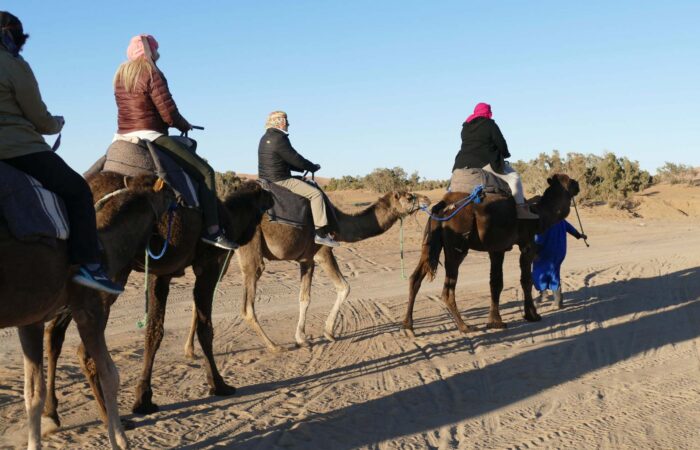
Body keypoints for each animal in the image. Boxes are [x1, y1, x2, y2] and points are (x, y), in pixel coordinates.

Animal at [0, 176, 168, 449]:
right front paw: (121, 441)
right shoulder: (89, 309)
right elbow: (110, 374)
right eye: (170, 196)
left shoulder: (31, 319)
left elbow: (33, 392)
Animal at [42, 172, 273, 427]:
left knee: (54, 333)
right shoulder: (210, 265)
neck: (232, 218)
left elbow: (154, 331)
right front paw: (218, 384)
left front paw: (143, 398)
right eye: (265, 193)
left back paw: (51, 413)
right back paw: (110, 419)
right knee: (85, 347)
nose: (273, 198)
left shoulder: (159, 273)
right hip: (111, 274)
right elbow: (205, 328)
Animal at [184, 190, 430, 355]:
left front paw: (302, 338)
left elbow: (304, 298)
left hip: (223, 254)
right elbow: (344, 287)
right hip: (250, 251)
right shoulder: (323, 251)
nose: (427, 199)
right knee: (247, 305)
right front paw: (329, 332)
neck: (339, 223)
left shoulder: (306, 259)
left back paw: (190, 351)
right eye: (410, 196)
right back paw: (274, 346)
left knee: (202, 296)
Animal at [402, 174, 579, 335]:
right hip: (456, 247)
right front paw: (532, 315)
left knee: (415, 277)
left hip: (430, 243)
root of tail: (442, 207)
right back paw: (464, 327)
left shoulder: (496, 249)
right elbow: (526, 280)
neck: (539, 215)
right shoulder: (526, 244)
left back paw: (408, 326)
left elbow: (495, 283)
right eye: (569, 181)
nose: (577, 184)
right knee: (447, 289)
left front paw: (495, 322)